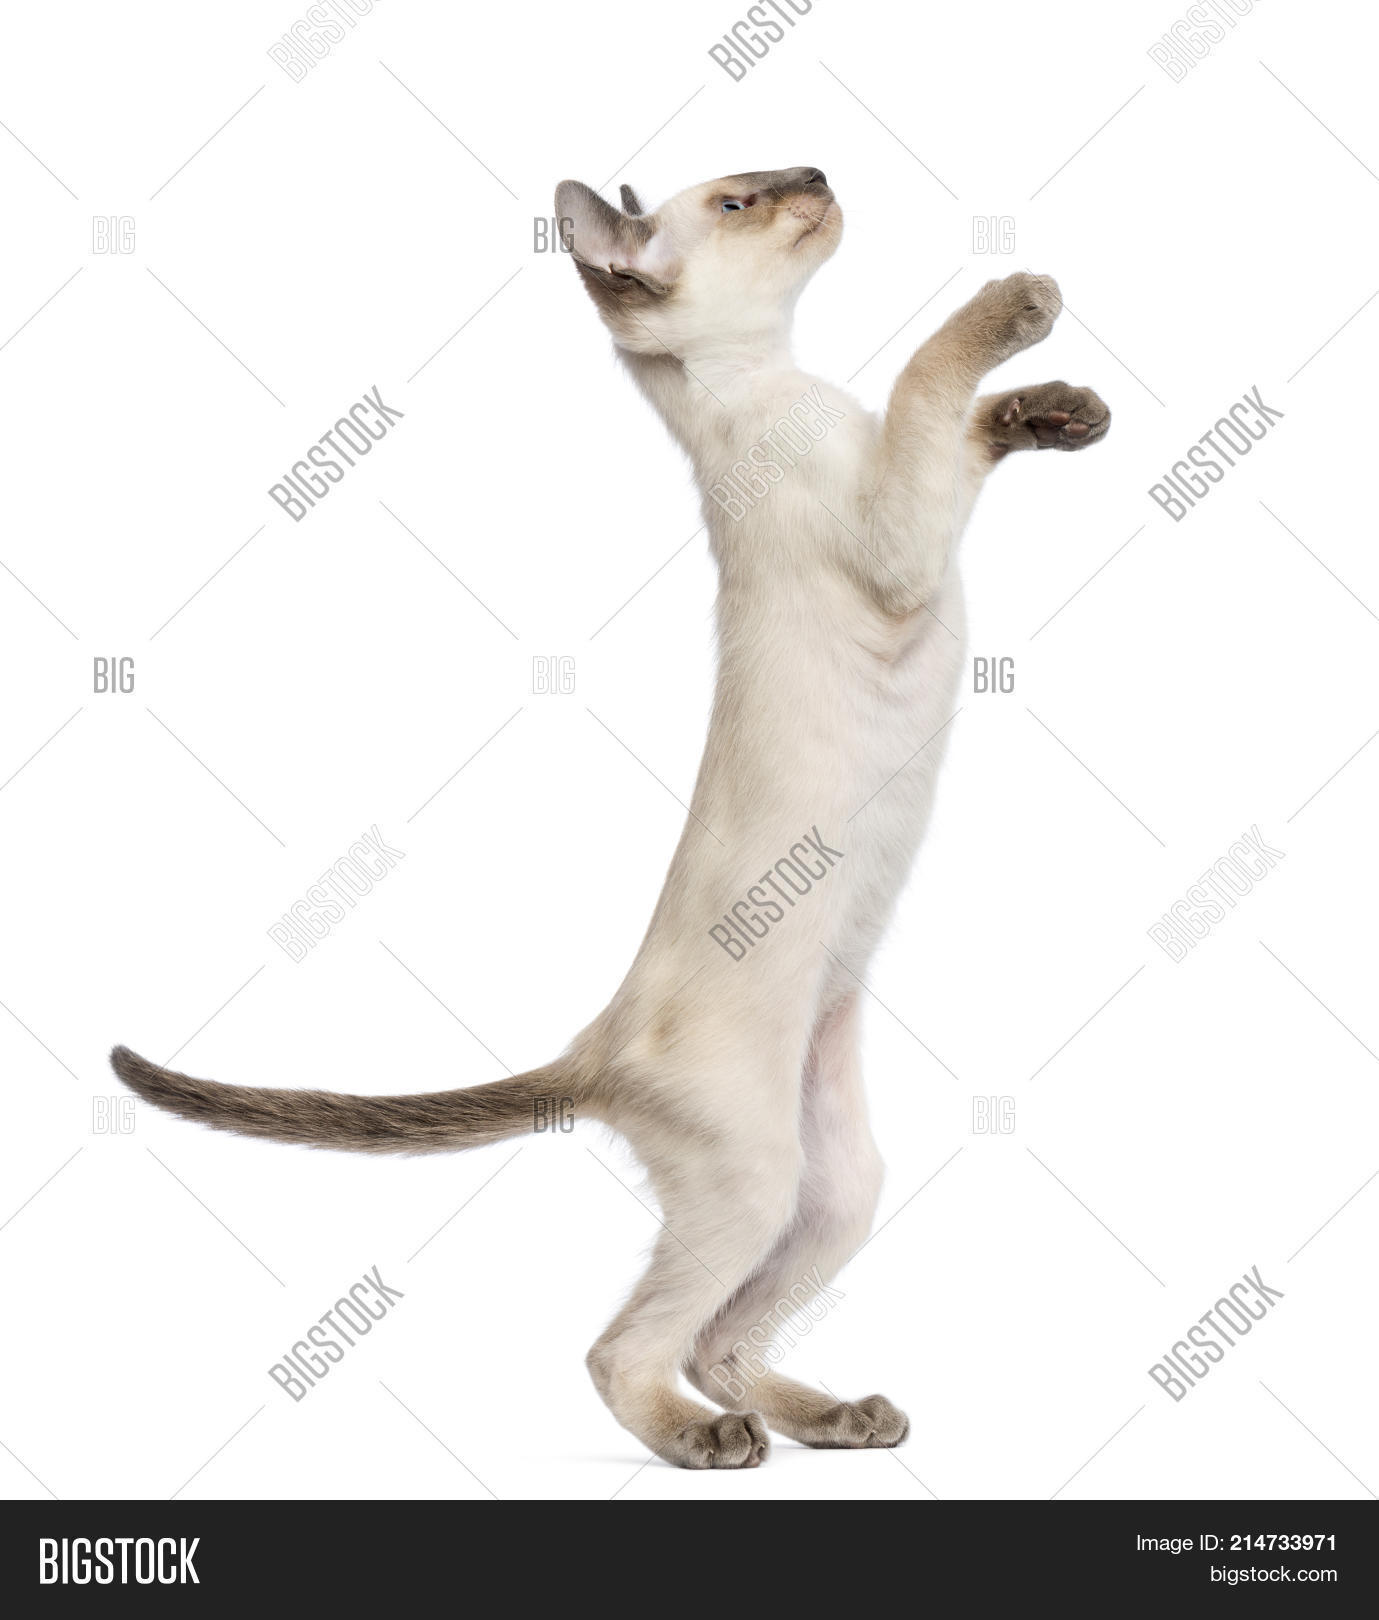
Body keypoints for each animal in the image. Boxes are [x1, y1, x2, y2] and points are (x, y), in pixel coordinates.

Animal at [112, 166, 1109, 1470]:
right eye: (740, 200)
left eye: (775, 179)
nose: (817, 176)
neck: (776, 384)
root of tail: (600, 1037)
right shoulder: (897, 541)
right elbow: (926, 377)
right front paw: (1016, 304)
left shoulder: (922, 507)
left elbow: (960, 420)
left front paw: (1058, 412)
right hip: (752, 1176)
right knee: (625, 1349)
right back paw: (710, 1441)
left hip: (833, 1186)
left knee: (717, 1339)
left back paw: (833, 1418)